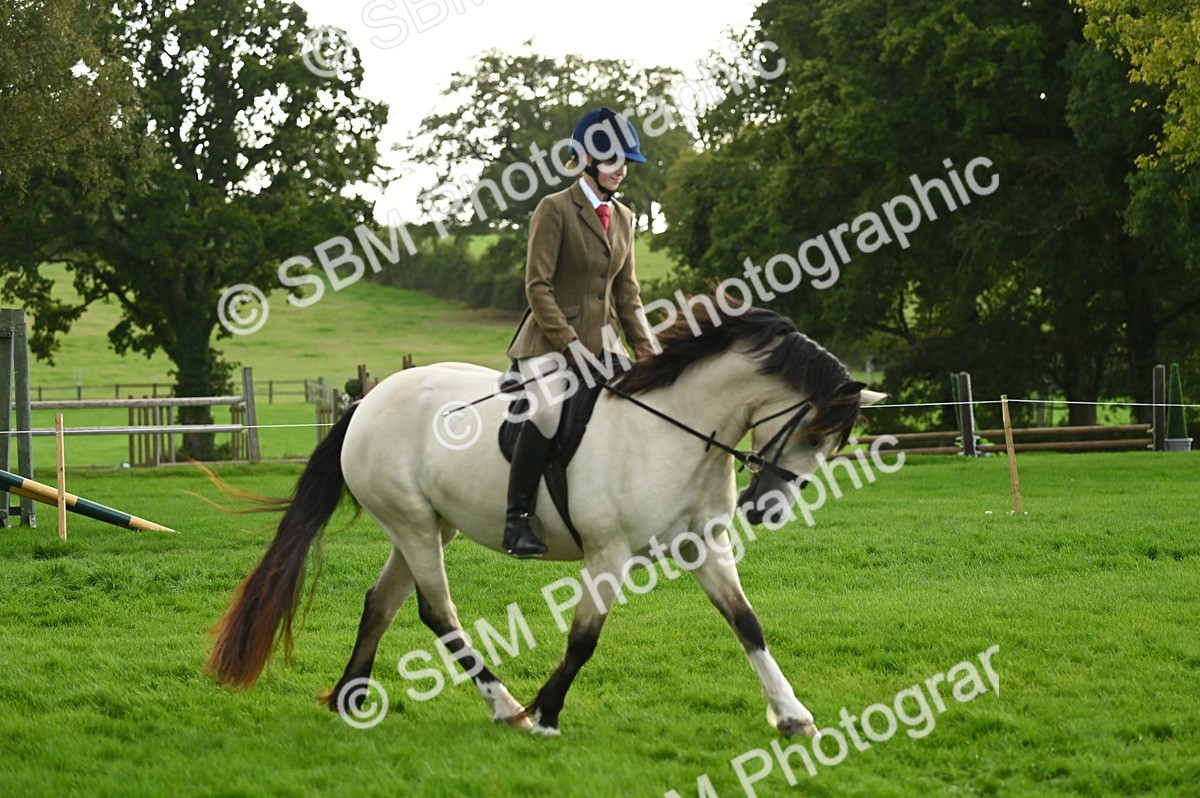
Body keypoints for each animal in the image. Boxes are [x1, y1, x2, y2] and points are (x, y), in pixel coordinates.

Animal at [207, 301, 885, 737]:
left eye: (833, 444)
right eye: (813, 432)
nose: (765, 508)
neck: (678, 431)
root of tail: (368, 400)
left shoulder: (704, 546)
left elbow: (748, 624)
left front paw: (792, 715)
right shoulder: (608, 554)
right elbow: (584, 638)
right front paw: (548, 714)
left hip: (427, 524)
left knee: (382, 602)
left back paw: (352, 698)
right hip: (415, 526)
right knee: (436, 611)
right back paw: (505, 705)